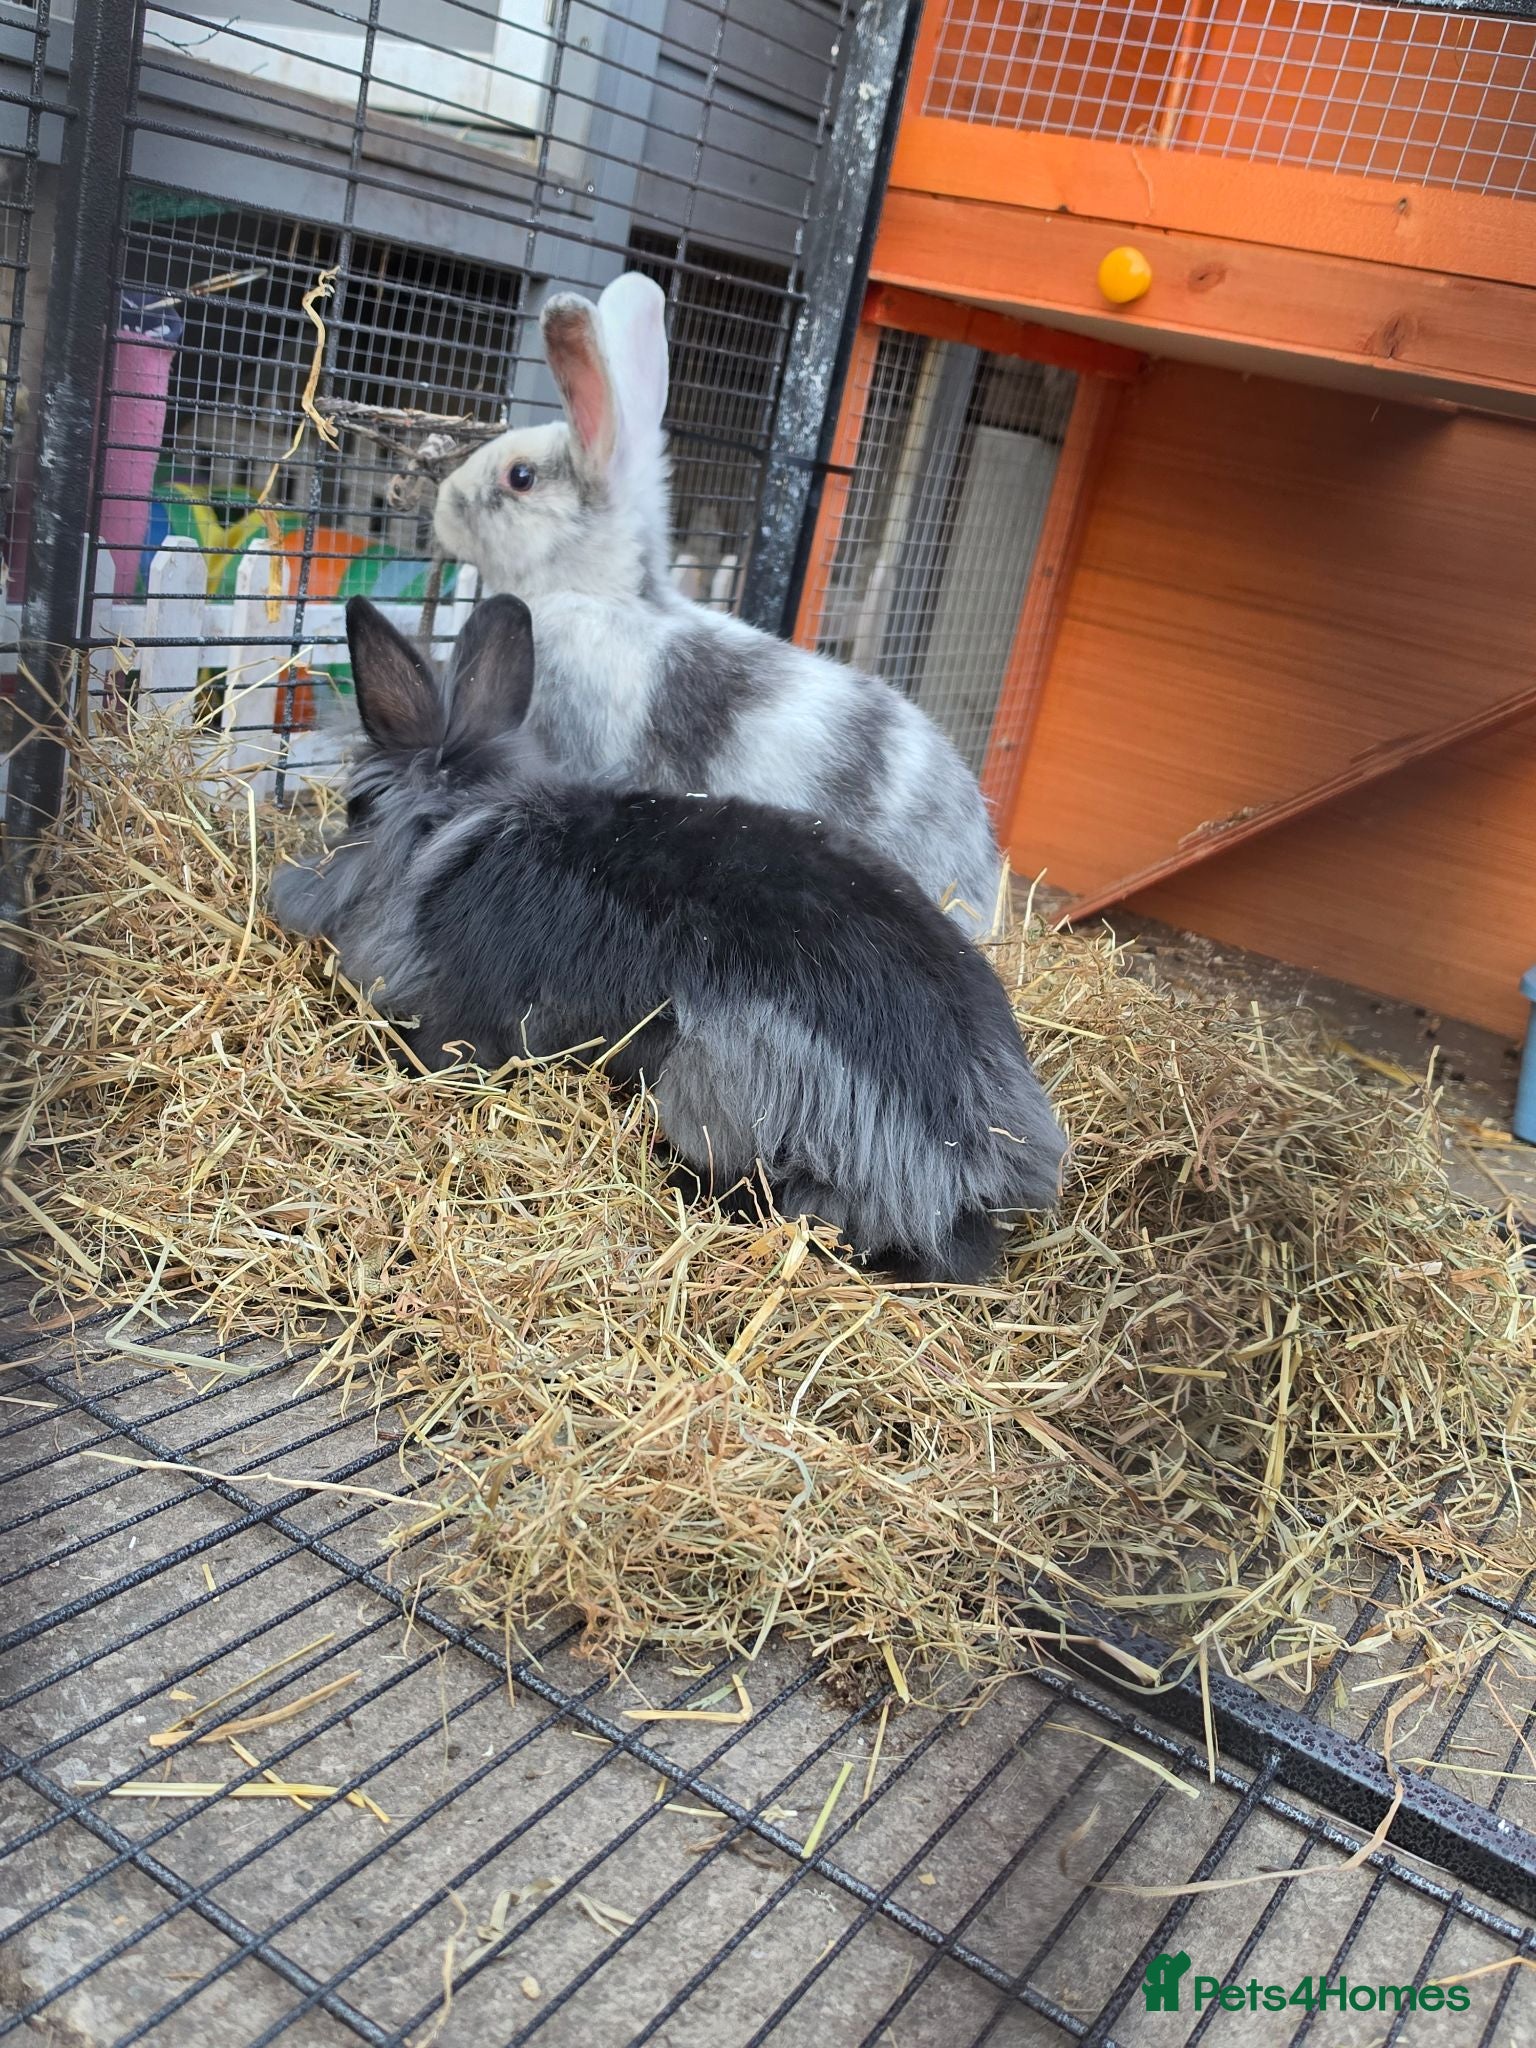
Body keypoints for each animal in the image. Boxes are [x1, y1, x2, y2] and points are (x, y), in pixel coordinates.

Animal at [269, 594, 1067, 1284]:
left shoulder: (456, 1033)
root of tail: (977, 1163)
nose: (291, 891)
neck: (450, 831)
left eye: (355, 809)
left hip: (714, 1097)